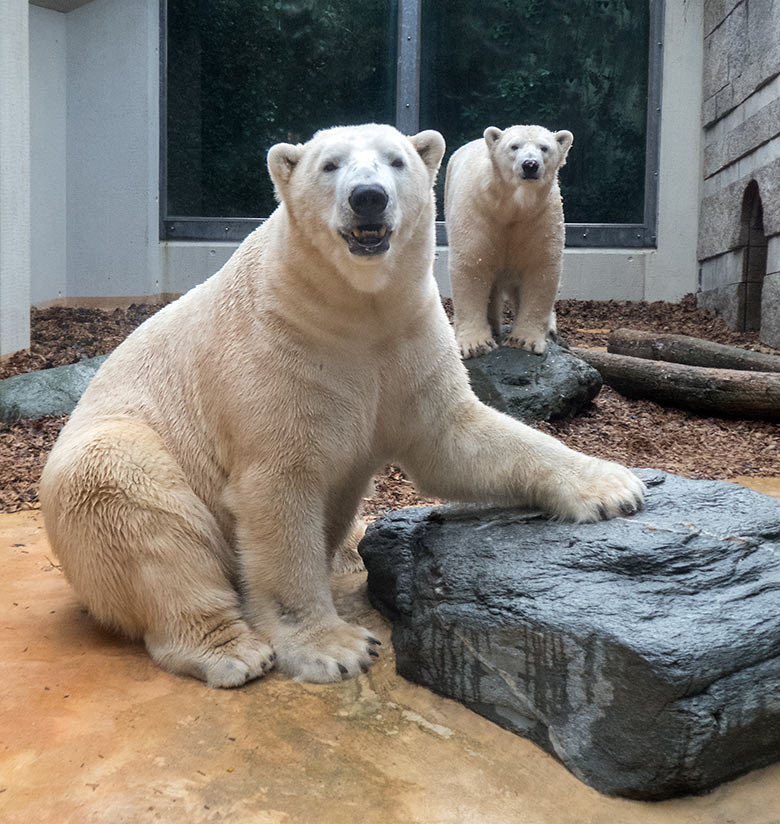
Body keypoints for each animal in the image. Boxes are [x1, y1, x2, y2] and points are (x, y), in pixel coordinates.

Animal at [444, 124, 572, 356]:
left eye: (544, 147)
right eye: (514, 146)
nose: (530, 165)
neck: (509, 207)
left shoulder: (539, 218)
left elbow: (540, 267)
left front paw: (523, 340)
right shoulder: (478, 211)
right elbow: (472, 264)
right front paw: (476, 344)